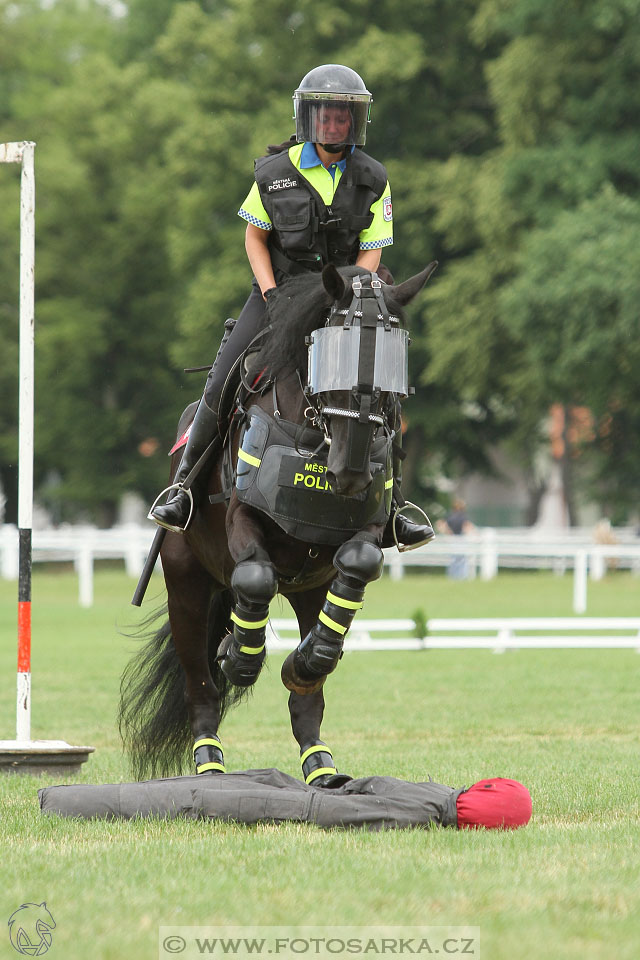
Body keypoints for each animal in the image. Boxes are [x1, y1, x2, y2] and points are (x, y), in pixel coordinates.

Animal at [121, 264, 436, 788]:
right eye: (328, 350)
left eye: (395, 360)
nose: (351, 472)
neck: (315, 434)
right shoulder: (243, 519)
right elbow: (255, 577)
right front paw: (237, 656)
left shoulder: (365, 528)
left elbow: (359, 560)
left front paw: (306, 659)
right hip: (187, 586)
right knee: (201, 687)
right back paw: (210, 764)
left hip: (309, 590)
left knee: (308, 698)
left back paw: (321, 764)